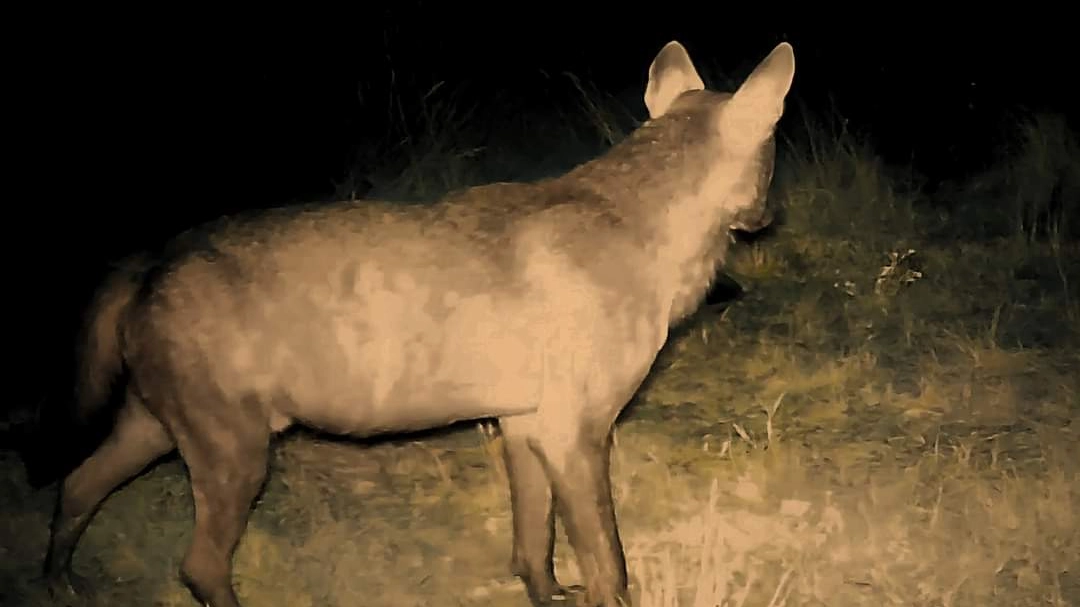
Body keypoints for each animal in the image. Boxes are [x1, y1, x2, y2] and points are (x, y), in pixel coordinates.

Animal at [44, 40, 794, 600]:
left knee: (76, 485)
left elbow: (534, 543)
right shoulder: (577, 429)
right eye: (773, 156)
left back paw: (61, 584)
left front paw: (546, 591)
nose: (770, 215)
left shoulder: (524, 423)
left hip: (157, 425)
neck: (652, 235)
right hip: (234, 451)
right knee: (197, 566)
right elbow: (609, 562)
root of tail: (150, 262)